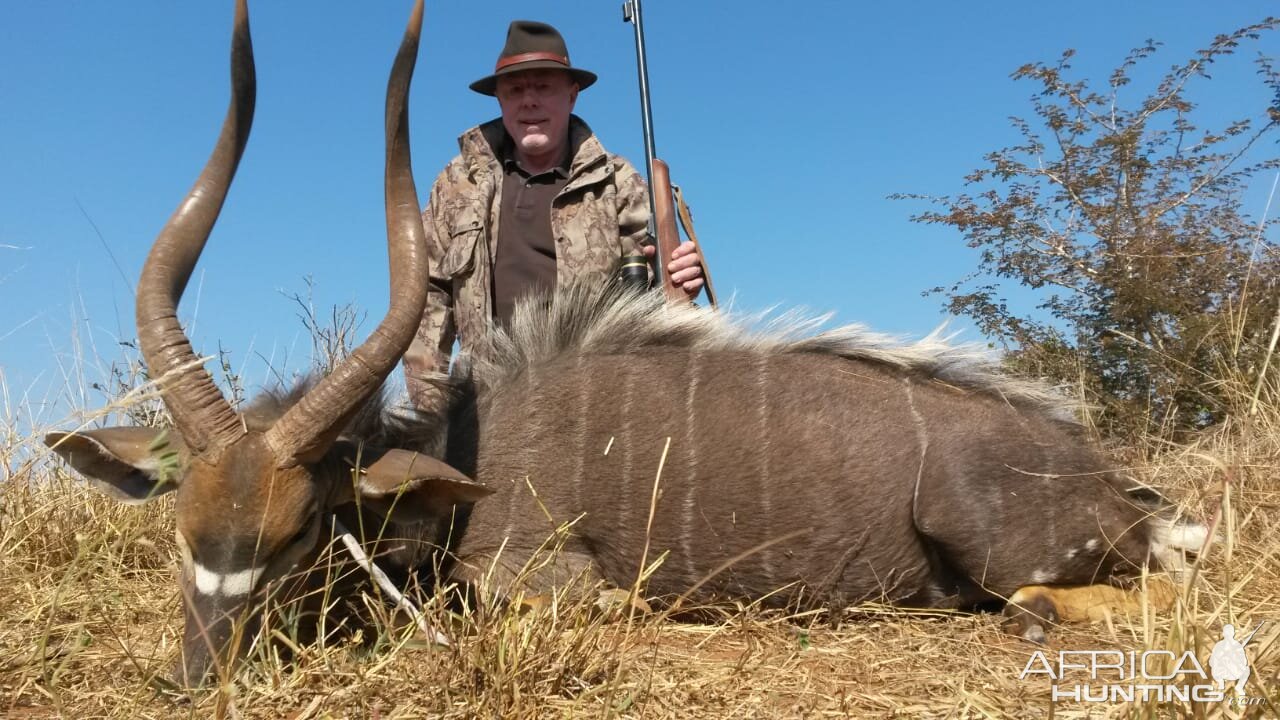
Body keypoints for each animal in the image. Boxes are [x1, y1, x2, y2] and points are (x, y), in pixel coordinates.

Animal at [42, 0, 1198, 686]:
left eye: (299, 531)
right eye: (183, 529)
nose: (197, 675)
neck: (461, 462)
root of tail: (1100, 472)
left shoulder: (539, 577)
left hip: (1000, 546)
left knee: (1124, 585)